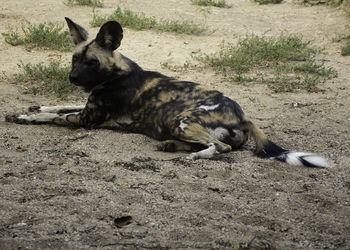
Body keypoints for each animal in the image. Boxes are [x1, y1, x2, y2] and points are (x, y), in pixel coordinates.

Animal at [4, 16, 328, 167]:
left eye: (92, 62)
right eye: (74, 59)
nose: (72, 78)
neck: (114, 74)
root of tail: (243, 114)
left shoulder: (86, 119)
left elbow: (54, 117)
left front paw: (24, 117)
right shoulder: (84, 107)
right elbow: (58, 105)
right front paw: (36, 107)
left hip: (181, 119)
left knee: (219, 149)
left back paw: (188, 158)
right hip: (178, 125)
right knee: (211, 145)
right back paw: (171, 147)